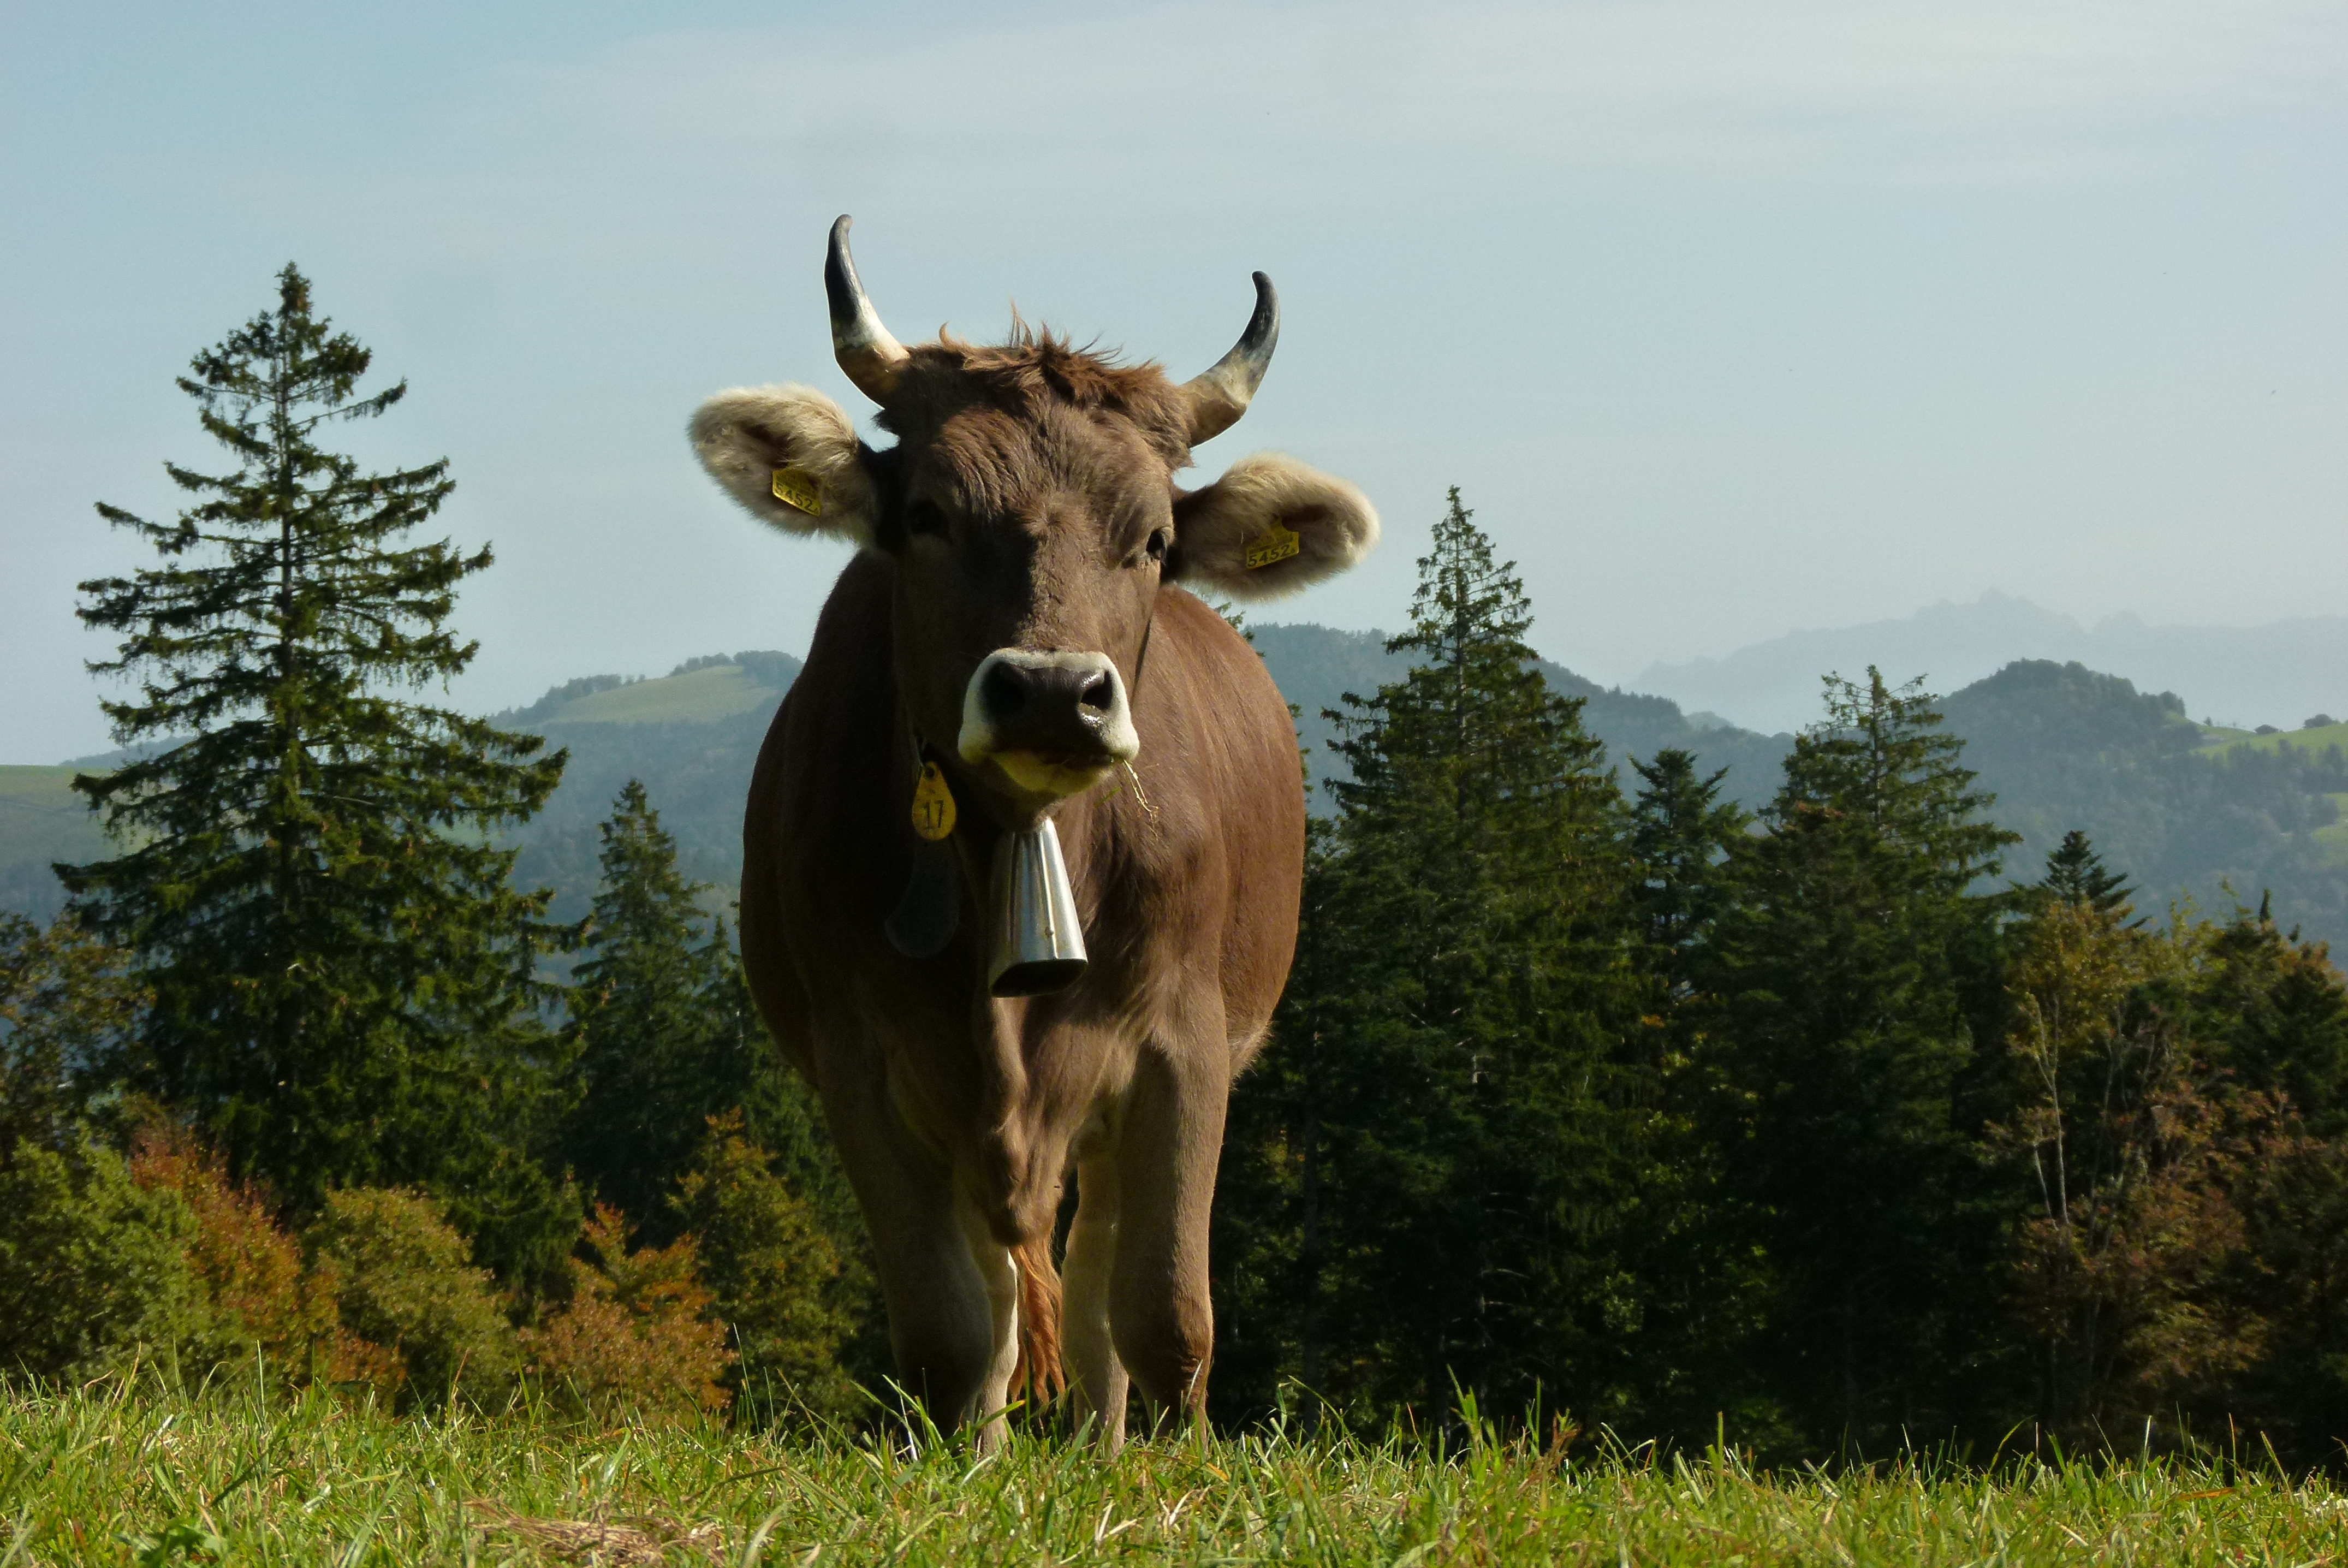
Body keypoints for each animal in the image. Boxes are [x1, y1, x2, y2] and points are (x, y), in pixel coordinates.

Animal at [685, 217, 1371, 1446]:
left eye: (1154, 538)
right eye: (927, 514)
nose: (1054, 691)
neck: (1022, 842)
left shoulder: (1186, 1042)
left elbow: (1164, 1311)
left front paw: (1181, 1463)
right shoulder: (863, 1057)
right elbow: (951, 1322)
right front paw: (959, 1457)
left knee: (1096, 1276)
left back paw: (1102, 1442)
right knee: (1005, 1286)